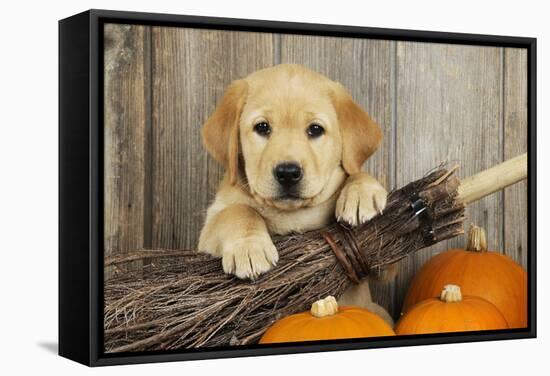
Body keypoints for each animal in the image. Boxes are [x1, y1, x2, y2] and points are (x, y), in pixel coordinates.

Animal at [201, 64, 394, 324]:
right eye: (262, 127)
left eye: (315, 129)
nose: (288, 173)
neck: (293, 214)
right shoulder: (205, 236)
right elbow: (237, 211)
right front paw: (249, 247)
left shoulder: (381, 264)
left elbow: (354, 172)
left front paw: (361, 192)